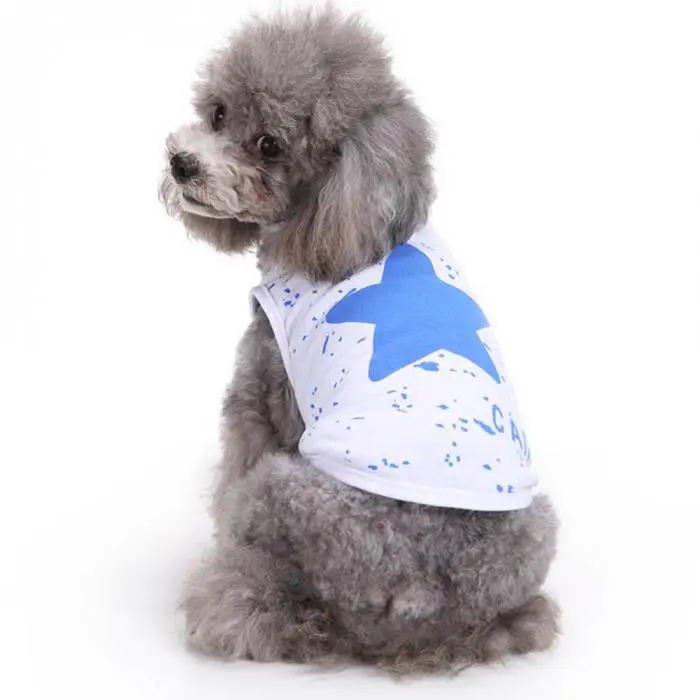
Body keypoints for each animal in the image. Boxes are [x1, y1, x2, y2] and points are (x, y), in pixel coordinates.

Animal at [159, 6, 559, 673]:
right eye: (217, 113)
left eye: (269, 145)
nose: (183, 164)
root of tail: (427, 596)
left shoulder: (261, 391)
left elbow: (234, 465)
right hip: (537, 526)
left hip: (285, 489)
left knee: (260, 598)